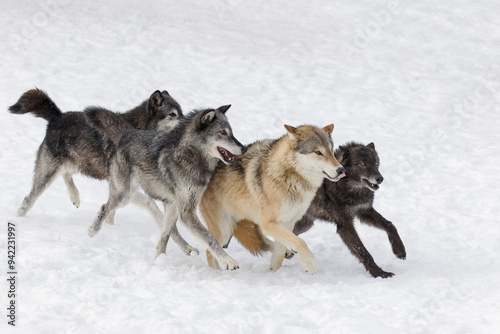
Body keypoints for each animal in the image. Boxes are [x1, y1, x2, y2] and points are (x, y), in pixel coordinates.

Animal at [8, 88, 182, 217]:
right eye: (172, 115)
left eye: (181, 112)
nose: (185, 126)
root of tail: (58, 116)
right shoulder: (121, 185)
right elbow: (150, 203)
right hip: (48, 174)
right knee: (28, 200)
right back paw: (18, 218)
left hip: (78, 164)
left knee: (66, 175)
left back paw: (75, 197)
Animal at [88, 105, 248, 268]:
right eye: (222, 133)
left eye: (231, 132)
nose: (244, 148)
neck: (191, 156)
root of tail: (127, 133)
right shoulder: (186, 211)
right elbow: (210, 239)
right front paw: (228, 261)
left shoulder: (178, 205)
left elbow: (165, 235)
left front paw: (158, 259)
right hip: (124, 195)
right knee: (104, 207)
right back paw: (93, 230)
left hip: (154, 201)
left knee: (168, 228)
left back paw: (186, 248)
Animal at [197, 124, 346, 272]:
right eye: (318, 152)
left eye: (331, 151)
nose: (341, 170)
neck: (290, 178)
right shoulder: (269, 223)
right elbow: (300, 241)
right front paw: (309, 264)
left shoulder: (288, 222)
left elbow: (279, 255)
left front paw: (273, 273)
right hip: (225, 230)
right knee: (210, 250)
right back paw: (217, 272)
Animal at [234, 142, 406, 278]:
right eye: (363, 164)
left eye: (376, 163)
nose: (380, 178)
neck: (348, 186)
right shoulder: (344, 225)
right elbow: (363, 251)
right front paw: (379, 272)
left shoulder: (364, 211)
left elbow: (390, 224)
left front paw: (399, 250)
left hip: (304, 223)